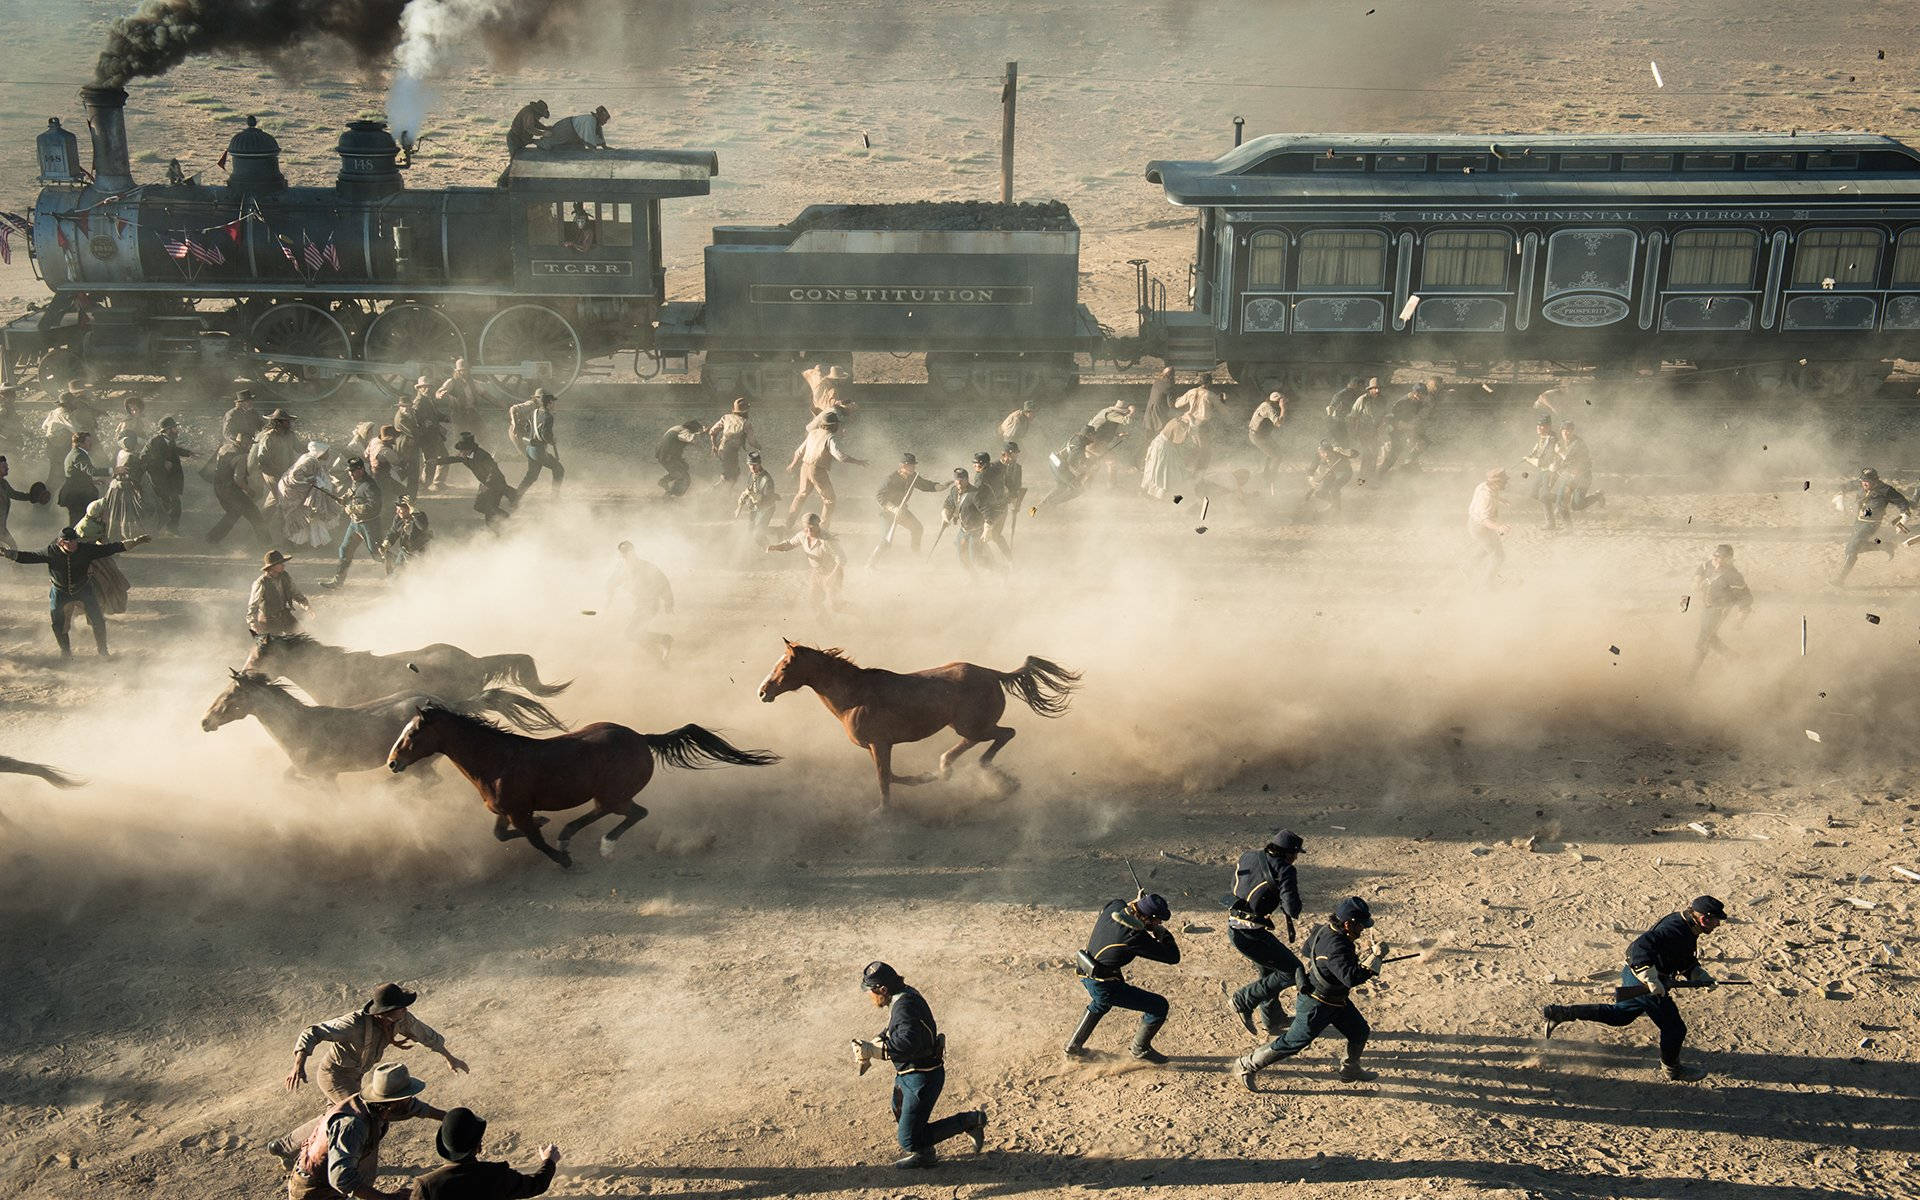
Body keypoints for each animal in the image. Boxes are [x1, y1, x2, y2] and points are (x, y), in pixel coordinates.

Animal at [207, 668, 572, 783]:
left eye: (229, 696)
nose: (204, 721)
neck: (300, 727)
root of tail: (445, 704)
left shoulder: (324, 776)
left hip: (421, 765)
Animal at [382, 706, 779, 864]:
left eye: (413, 733)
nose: (392, 763)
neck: (497, 759)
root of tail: (642, 738)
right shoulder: (504, 810)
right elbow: (501, 835)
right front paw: (547, 824)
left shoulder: (518, 811)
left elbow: (535, 840)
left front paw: (563, 858)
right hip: (610, 795)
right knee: (617, 814)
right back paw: (572, 835)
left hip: (615, 795)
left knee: (633, 813)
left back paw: (595, 843)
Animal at [752, 637, 1082, 806]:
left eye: (784, 666)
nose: (762, 692)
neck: (855, 696)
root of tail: (993, 673)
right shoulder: (876, 747)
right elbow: (891, 776)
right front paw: (924, 777)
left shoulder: (880, 743)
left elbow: (884, 778)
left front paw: (882, 814)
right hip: (965, 726)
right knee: (976, 742)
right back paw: (947, 767)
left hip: (973, 725)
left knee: (1005, 734)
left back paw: (994, 777)